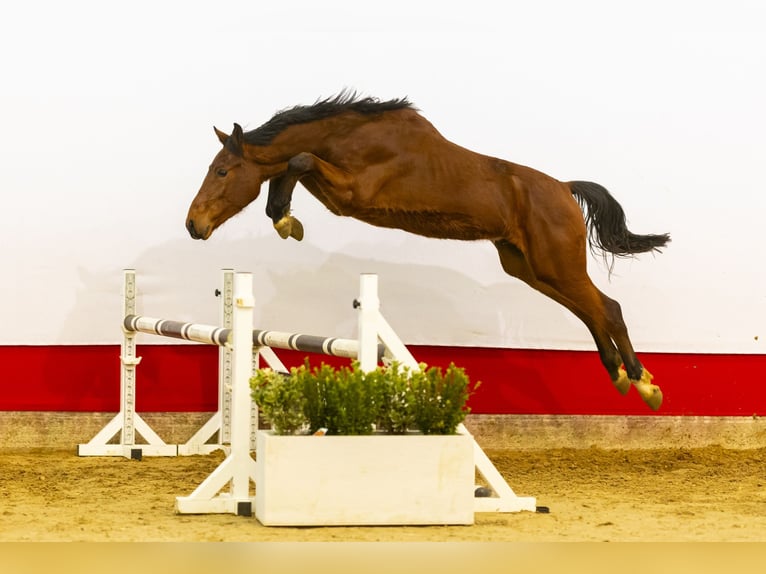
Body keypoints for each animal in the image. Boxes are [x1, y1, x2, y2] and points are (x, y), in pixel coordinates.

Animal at [186, 92, 672, 412]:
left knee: (608, 308)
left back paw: (645, 385)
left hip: (556, 264)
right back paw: (622, 376)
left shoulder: (352, 192)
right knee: (592, 312)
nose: (193, 224)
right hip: (531, 269)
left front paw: (284, 218)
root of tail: (566, 189)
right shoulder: (338, 193)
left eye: (223, 171)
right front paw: (285, 217)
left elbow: (298, 160)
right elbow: (292, 166)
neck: (351, 136)